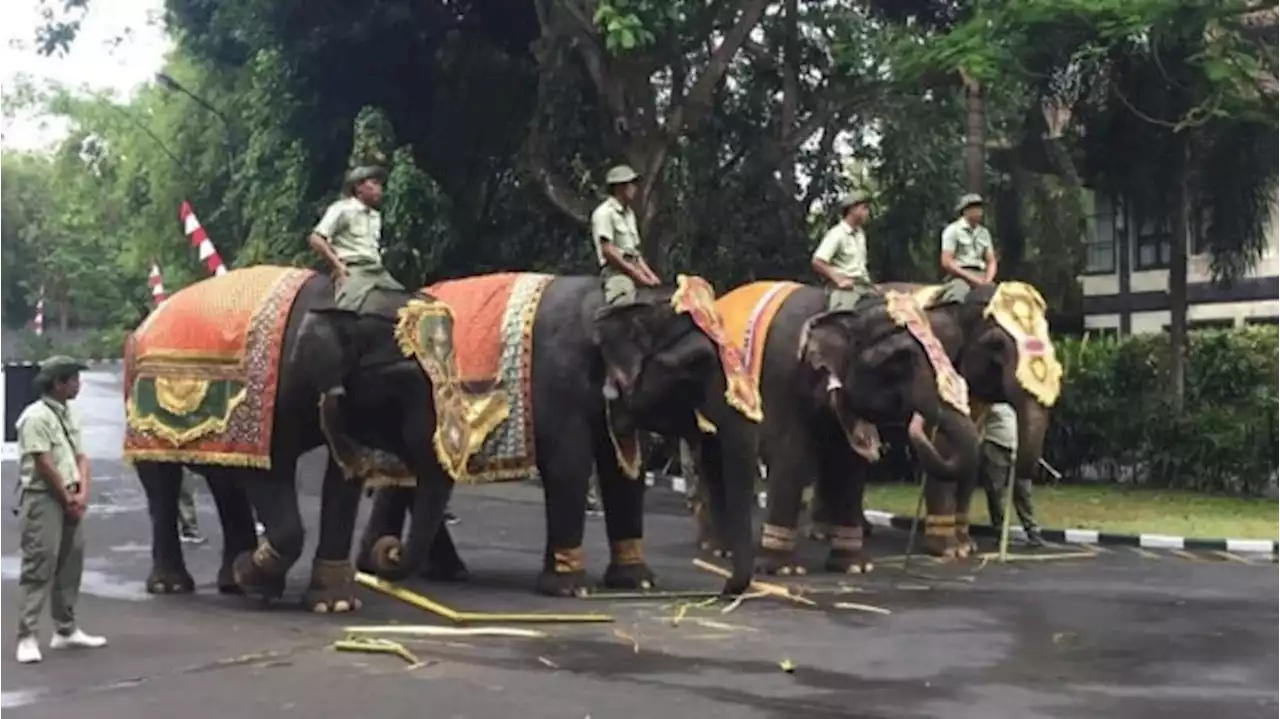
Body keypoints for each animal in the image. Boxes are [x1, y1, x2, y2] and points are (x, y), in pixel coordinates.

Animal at [123, 264, 465, 608]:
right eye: (405, 381)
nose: (391, 549)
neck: (339, 299)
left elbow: (343, 478)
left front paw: (333, 604)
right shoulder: (268, 399)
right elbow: (271, 473)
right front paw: (251, 574)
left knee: (225, 479)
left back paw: (235, 583)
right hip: (139, 405)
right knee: (161, 482)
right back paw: (174, 585)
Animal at [355, 271, 762, 596]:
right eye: (696, 363)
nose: (723, 587)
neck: (615, 302)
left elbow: (624, 470)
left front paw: (638, 581)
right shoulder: (557, 380)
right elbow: (570, 466)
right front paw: (570, 588)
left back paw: (411, 567)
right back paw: (396, 566)